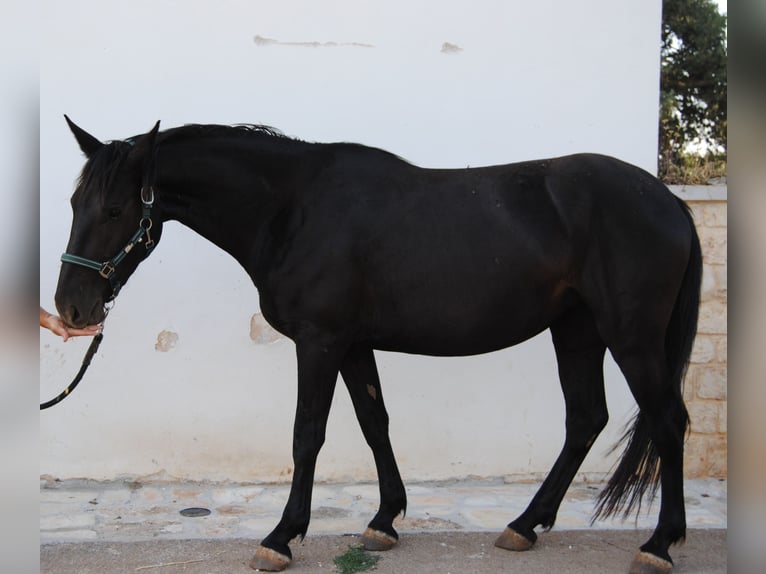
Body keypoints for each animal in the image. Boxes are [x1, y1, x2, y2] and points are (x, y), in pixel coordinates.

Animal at [54, 117, 701, 574]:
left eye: (115, 208)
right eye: (76, 203)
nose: (71, 308)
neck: (292, 209)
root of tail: (669, 201)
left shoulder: (319, 342)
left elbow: (307, 433)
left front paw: (281, 537)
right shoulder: (352, 344)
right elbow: (374, 422)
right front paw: (385, 521)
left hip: (631, 336)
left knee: (668, 420)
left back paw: (659, 543)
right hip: (577, 330)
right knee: (586, 418)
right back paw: (525, 524)